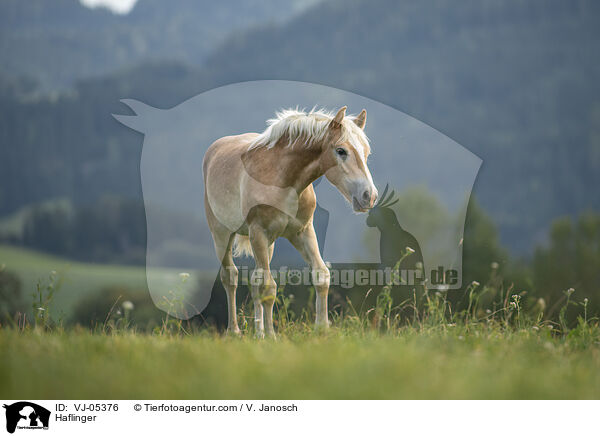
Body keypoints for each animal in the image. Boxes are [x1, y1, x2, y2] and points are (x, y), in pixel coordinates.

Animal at [204, 105, 378, 338]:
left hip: (268, 244)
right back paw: (235, 331)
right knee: (230, 277)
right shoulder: (258, 233)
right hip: (222, 235)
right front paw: (272, 337)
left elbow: (321, 275)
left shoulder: (302, 231)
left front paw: (321, 330)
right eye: (341, 151)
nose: (369, 196)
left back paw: (258, 333)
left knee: (255, 280)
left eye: (366, 152)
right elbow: (268, 286)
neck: (283, 179)